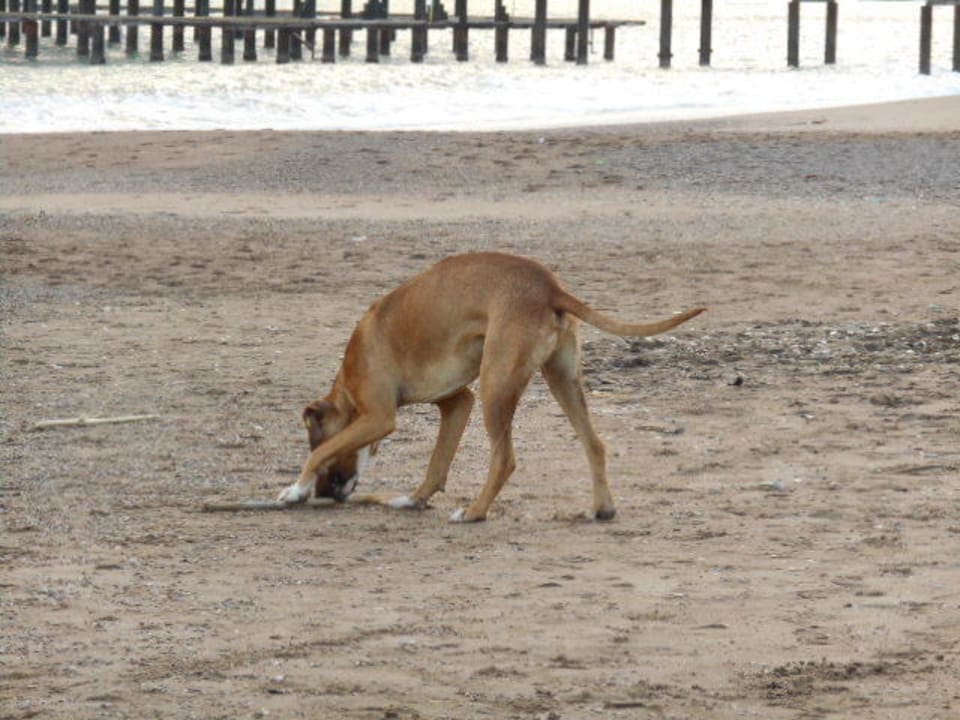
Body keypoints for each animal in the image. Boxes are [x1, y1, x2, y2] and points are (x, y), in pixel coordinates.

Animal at [278, 252, 704, 522]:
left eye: (314, 440)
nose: (325, 497)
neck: (347, 386)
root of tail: (550, 286)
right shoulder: (457, 405)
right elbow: (437, 465)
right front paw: (412, 500)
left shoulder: (380, 417)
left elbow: (327, 452)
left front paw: (294, 489)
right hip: (560, 380)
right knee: (594, 444)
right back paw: (601, 509)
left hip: (496, 386)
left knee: (505, 459)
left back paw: (474, 512)